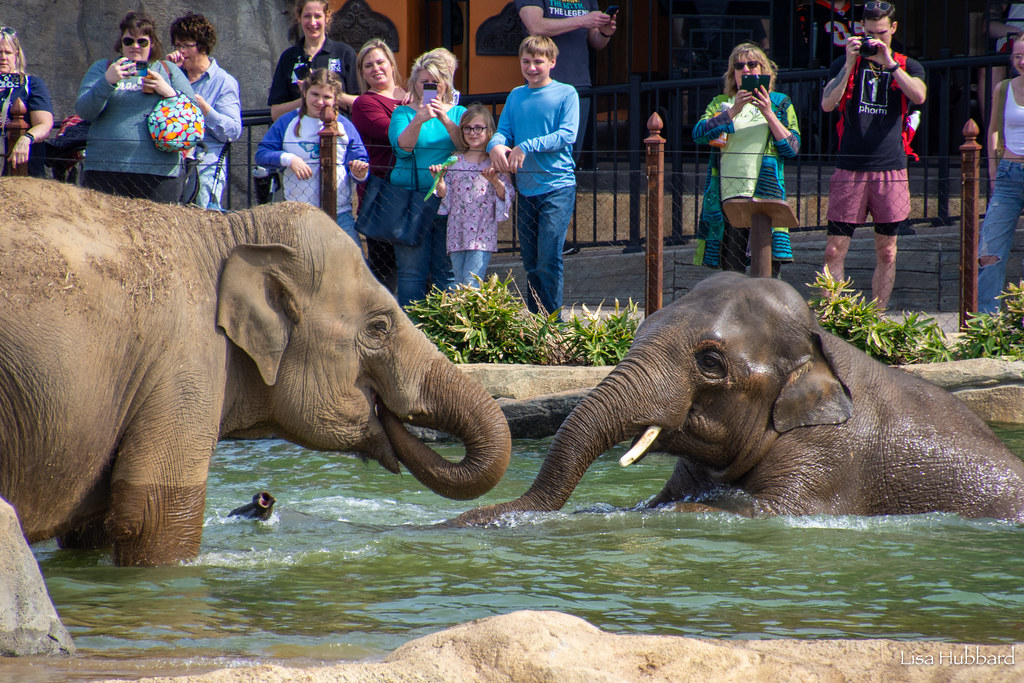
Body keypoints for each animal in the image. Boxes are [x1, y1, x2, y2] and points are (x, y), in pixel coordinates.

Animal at [0, 177, 510, 566]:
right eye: (379, 327)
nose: (383, 409)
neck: (230, 230)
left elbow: (94, 527)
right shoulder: (186, 366)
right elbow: (152, 515)